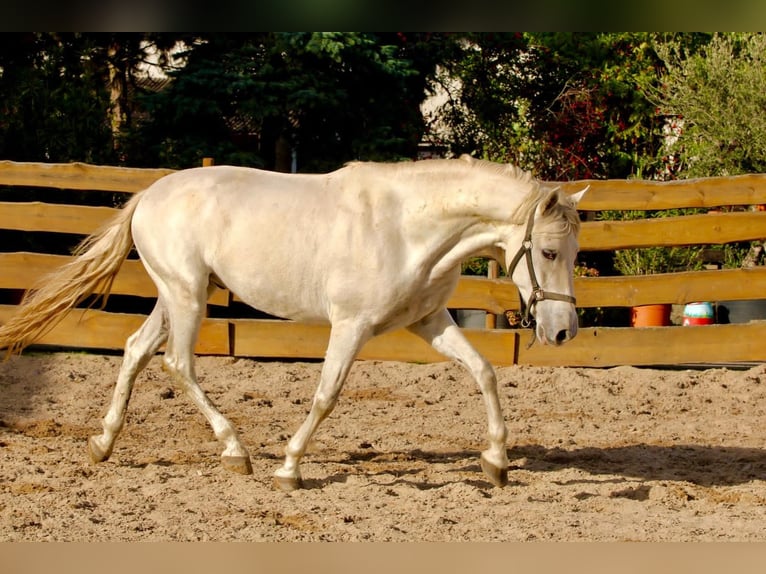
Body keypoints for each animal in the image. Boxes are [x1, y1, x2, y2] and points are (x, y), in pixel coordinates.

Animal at [0, 155, 586, 490]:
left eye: (575, 251)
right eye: (549, 252)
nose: (563, 332)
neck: (407, 227)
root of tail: (150, 194)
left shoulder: (429, 322)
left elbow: (484, 371)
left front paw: (496, 462)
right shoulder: (350, 326)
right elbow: (326, 395)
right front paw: (289, 468)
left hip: (178, 294)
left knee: (136, 349)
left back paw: (103, 444)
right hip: (187, 295)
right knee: (177, 363)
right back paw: (235, 452)